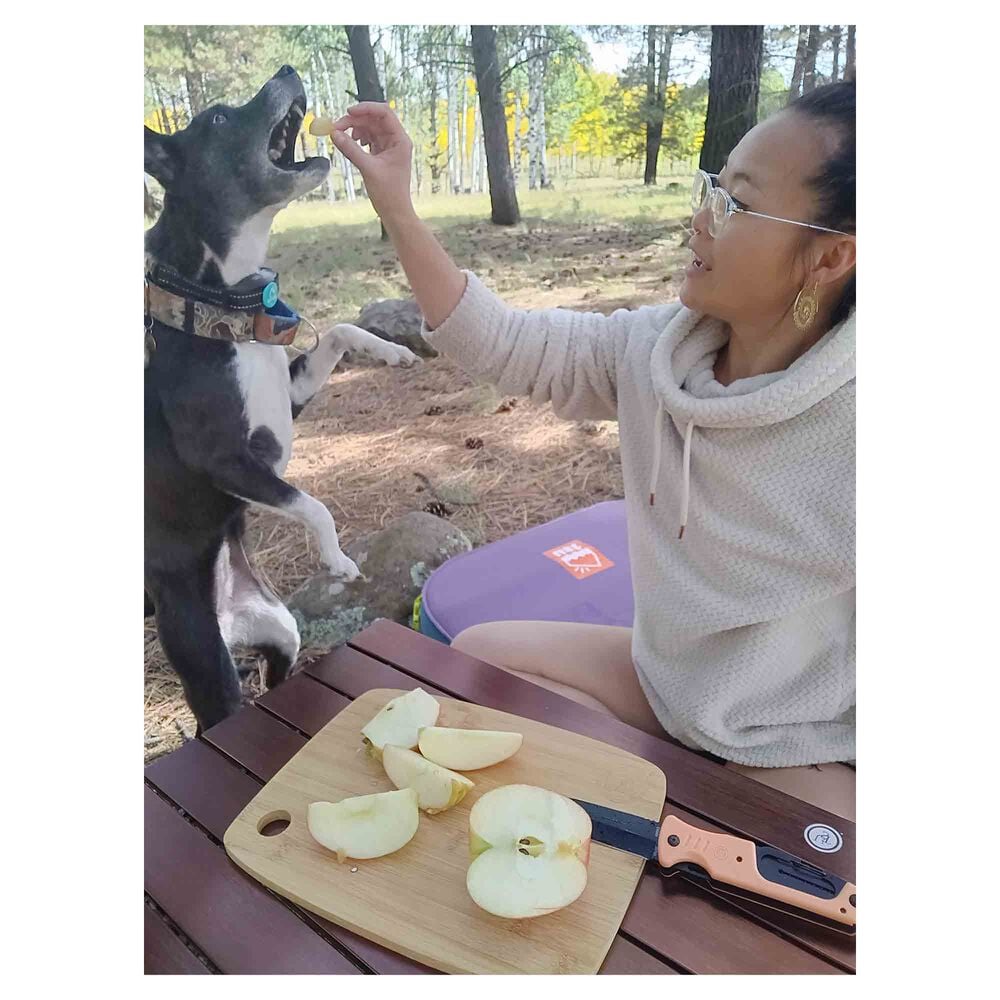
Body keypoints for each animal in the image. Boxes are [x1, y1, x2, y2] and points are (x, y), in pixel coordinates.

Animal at [143, 66, 416, 732]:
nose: (289, 71)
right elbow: (311, 504)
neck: (220, 304)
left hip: (280, 633)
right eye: (217, 118)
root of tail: (227, 614)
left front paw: (391, 352)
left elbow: (340, 331)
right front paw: (338, 560)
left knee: (278, 674)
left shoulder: (286, 397)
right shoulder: (227, 460)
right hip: (208, 670)